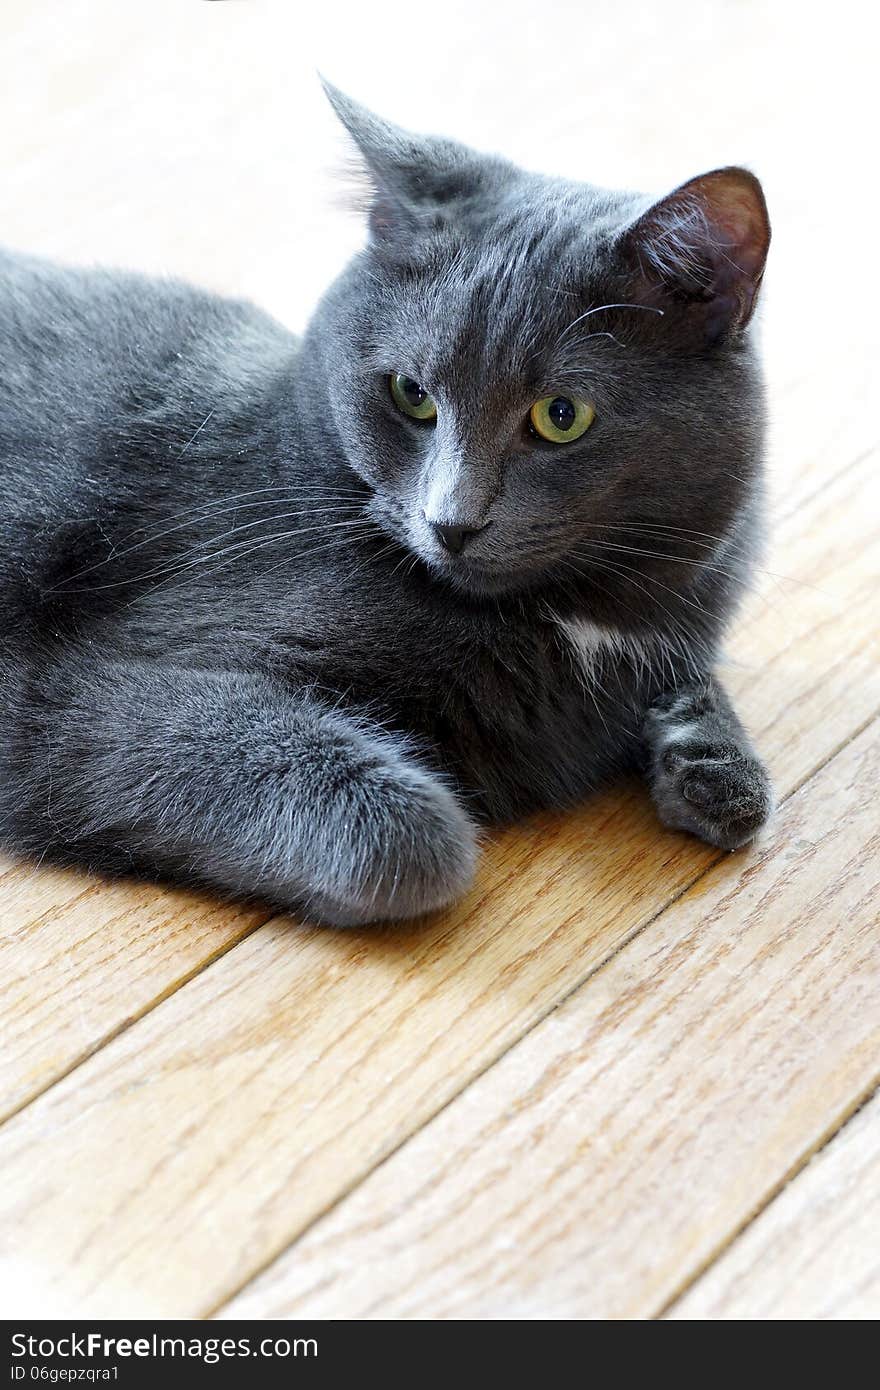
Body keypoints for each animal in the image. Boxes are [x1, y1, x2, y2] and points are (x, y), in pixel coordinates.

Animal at [0, 89, 767, 934]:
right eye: (411, 393)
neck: (574, 616)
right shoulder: (81, 682)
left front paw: (712, 766)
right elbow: (412, 843)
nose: (452, 521)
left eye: (561, 416)